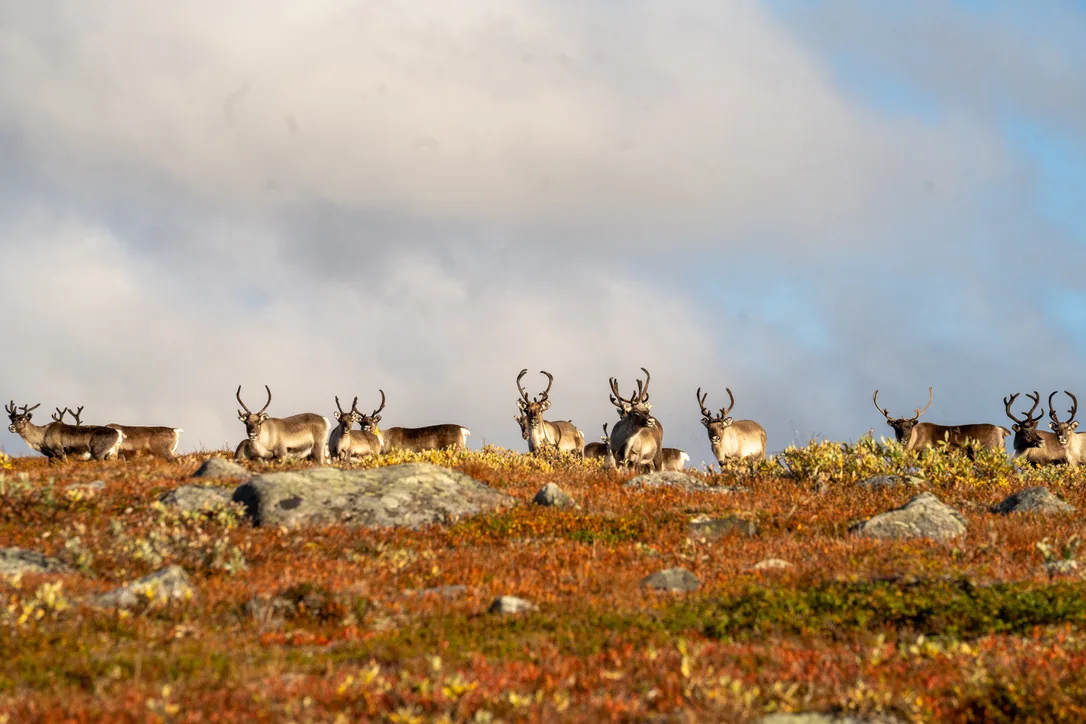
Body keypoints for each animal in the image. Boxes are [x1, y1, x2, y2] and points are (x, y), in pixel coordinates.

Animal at [873, 387, 1010, 456]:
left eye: (909, 426)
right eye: (896, 427)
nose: (903, 440)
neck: (914, 441)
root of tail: (1001, 430)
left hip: (988, 451)